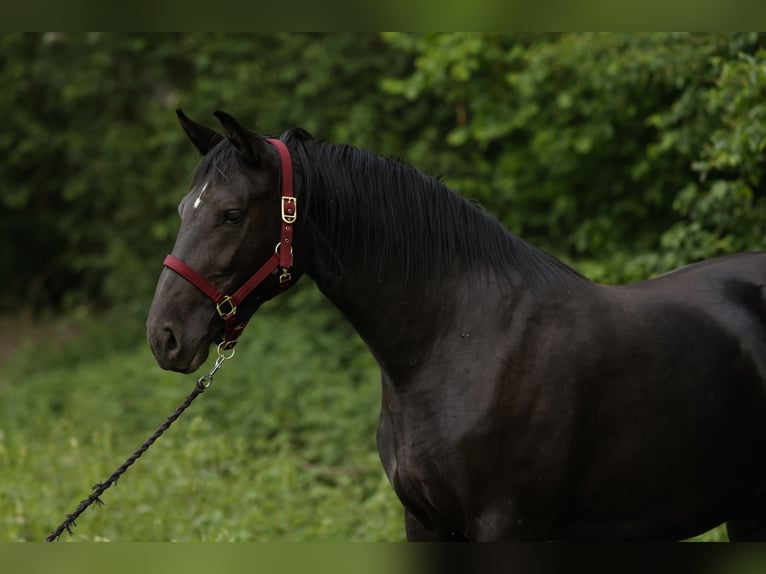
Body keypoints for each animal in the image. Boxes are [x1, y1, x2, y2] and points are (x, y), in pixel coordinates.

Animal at [147, 109, 766, 541]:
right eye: (181, 209)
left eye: (230, 214)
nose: (164, 336)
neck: (458, 341)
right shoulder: (423, 522)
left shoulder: (507, 526)